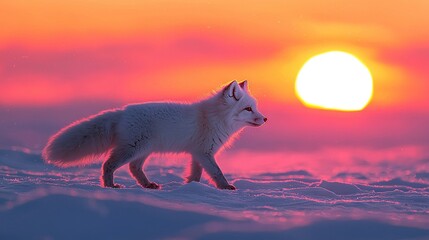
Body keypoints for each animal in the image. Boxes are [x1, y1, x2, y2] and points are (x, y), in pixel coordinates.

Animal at [41, 80, 266, 189]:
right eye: (248, 109)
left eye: (254, 107)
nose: (265, 119)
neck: (214, 118)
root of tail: (122, 112)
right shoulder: (205, 153)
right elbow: (217, 173)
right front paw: (226, 187)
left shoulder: (197, 153)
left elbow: (196, 174)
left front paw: (191, 188)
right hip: (132, 149)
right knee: (108, 164)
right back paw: (110, 185)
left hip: (143, 151)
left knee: (134, 168)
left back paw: (148, 185)